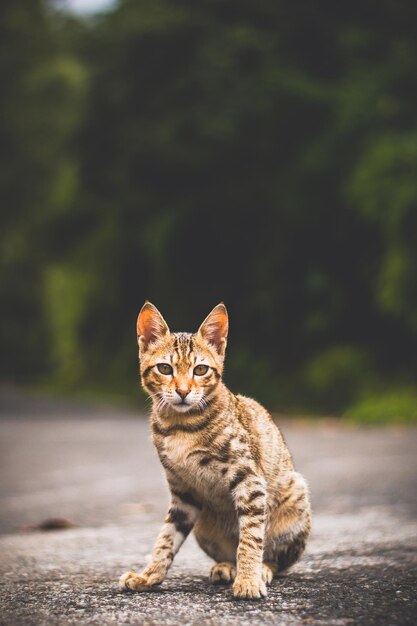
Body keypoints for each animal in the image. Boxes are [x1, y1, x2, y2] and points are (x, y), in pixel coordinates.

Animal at [118, 300, 310, 596]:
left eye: (200, 370)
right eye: (165, 369)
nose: (183, 391)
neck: (180, 425)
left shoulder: (249, 480)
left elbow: (251, 537)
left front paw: (248, 580)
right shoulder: (183, 492)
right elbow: (166, 538)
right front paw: (148, 576)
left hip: (296, 494)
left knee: (276, 557)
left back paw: (261, 570)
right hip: (203, 525)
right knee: (228, 552)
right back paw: (227, 567)